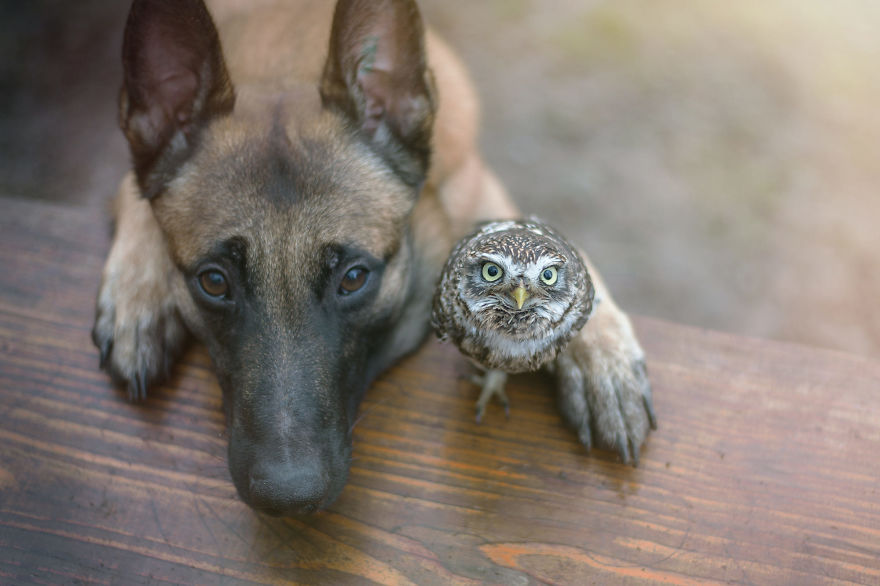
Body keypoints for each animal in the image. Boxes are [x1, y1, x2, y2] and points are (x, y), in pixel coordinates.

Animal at [94, 0, 652, 512]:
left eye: (353, 278)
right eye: (213, 282)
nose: (287, 498)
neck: (289, 62)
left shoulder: (478, 187)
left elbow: (547, 241)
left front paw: (599, 354)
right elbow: (131, 193)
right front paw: (137, 294)